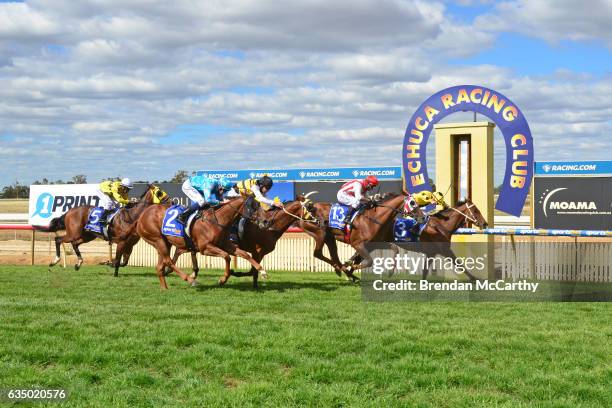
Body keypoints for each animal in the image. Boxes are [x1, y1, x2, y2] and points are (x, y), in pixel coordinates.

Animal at [137, 196, 268, 288]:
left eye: (258, 205)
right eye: (253, 206)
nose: (266, 221)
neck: (218, 220)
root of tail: (143, 214)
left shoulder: (225, 244)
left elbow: (245, 254)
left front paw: (262, 270)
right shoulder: (205, 248)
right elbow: (227, 256)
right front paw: (222, 279)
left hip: (165, 242)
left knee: (160, 266)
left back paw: (165, 288)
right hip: (158, 239)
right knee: (168, 261)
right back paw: (191, 280)